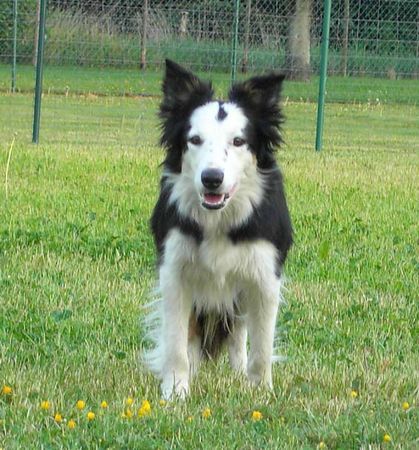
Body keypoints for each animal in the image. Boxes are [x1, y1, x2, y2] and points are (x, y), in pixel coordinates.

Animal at [143, 60, 294, 400]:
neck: (220, 218)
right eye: (195, 139)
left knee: (239, 333)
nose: (212, 178)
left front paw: (260, 391)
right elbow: (176, 344)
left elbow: (262, 347)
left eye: (238, 141)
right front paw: (175, 392)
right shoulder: (174, 272)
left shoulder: (265, 276)